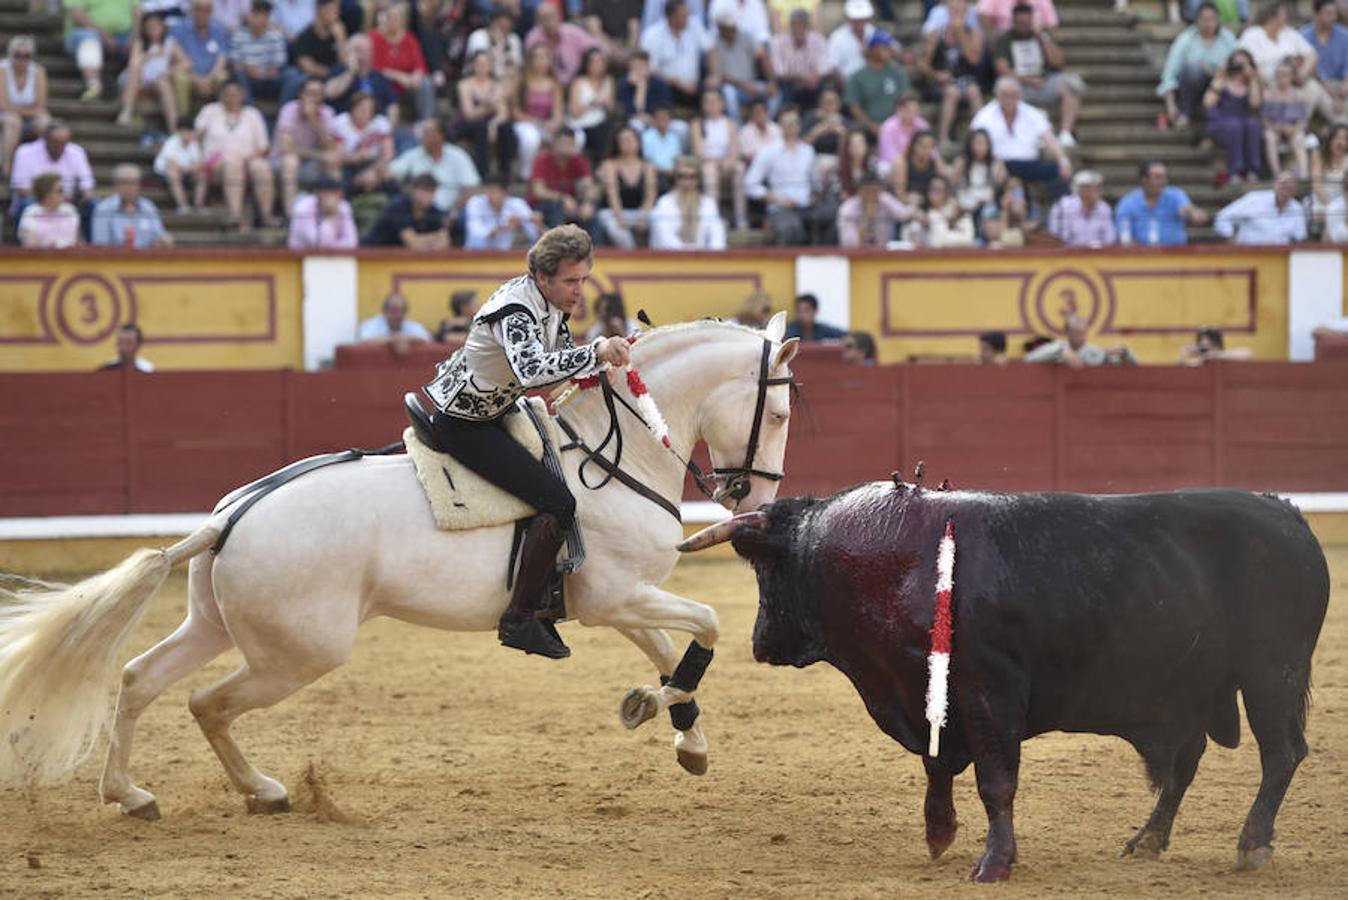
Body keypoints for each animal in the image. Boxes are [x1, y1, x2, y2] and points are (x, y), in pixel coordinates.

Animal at [0, 312, 798, 819]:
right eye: (782, 415)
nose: (752, 500)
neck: (613, 454)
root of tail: (228, 518)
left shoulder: (615, 599)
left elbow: (669, 650)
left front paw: (682, 733)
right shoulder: (613, 595)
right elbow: (706, 625)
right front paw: (658, 711)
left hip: (217, 624)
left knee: (140, 679)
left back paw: (133, 796)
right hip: (300, 651)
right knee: (206, 702)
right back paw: (265, 790)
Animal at [722, 482, 1331, 883]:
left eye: (767, 569)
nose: (759, 641)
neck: (898, 561)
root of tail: (1286, 513)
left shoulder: (989, 695)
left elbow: (996, 782)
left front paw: (993, 864)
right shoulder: (931, 697)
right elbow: (938, 764)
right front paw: (938, 833)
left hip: (1272, 674)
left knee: (1281, 753)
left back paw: (1251, 844)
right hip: (1191, 689)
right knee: (1187, 761)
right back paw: (1147, 840)